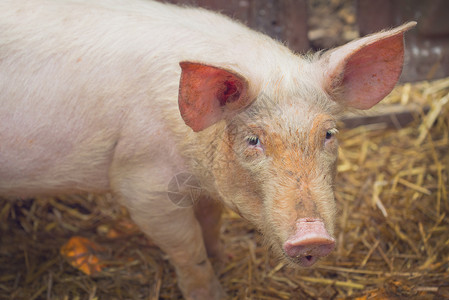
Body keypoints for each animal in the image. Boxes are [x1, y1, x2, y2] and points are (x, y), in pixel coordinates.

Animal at [0, 1, 412, 298]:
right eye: (252, 140)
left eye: (328, 133)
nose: (313, 235)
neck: (195, 164)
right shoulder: (141, 185)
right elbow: (188, 246)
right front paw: (212, 292)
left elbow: (211, 221)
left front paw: (224, 256)